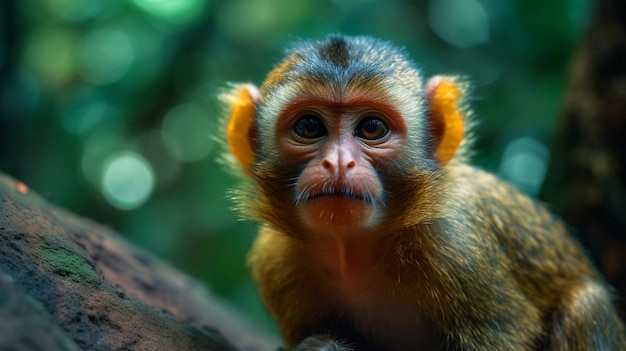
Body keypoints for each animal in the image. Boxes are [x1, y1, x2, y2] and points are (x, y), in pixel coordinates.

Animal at [219, 34, 624, 350]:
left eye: (371, 128)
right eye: (308, 126)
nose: (338, 163)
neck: (354, 253)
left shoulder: (457, 248)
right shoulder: (275, 262)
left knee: (586, 306)